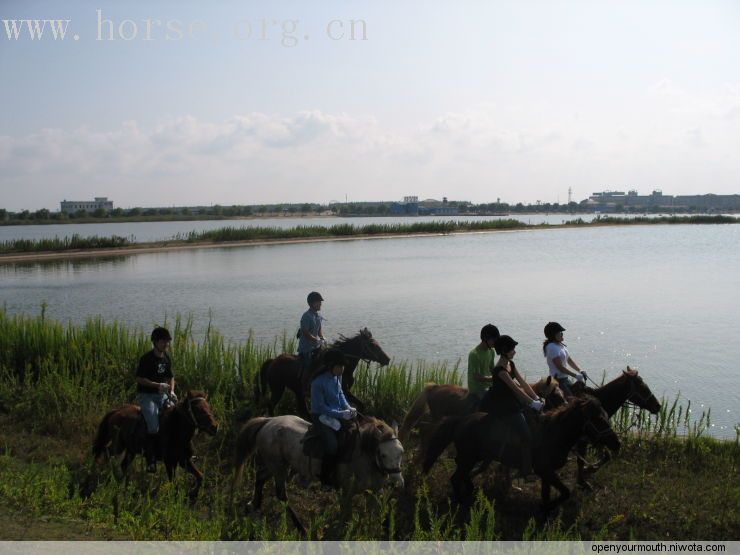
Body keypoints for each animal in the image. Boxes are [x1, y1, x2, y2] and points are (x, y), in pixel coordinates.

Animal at [231, 414, 404, 532]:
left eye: (401, 452)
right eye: (383, 454)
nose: (397, 482)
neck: (362, 456)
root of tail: (268, 421)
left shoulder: (376, 491)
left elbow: (383, 512)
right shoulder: (346, 492)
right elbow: (346, 517)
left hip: (276, 464)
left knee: (260, 476)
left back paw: (254, 504)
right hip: (278, 467)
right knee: (282, 495)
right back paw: (301, 528)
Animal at [256, 330, 394, 416]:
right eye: (372, 345)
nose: (387, 359)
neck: (343, 365)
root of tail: (273, 361)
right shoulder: (345, 391)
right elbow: (361, 405)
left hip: (296, 391)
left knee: (302, 409)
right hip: (278, 388)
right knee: (271, 405)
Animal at [422, 396, 620, 512]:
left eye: (606, 415)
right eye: (599, 419)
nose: (617, 443)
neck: (553, 434)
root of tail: (460, 420)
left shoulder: (546, 473)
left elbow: (547, 493)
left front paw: (545, 509)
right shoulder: (545, 470)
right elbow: (565, 492)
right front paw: (549, 506)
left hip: (476, 457)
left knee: (463, 474)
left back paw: (469, 491)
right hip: (468, 458)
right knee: (456, 477)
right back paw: (461, 501)